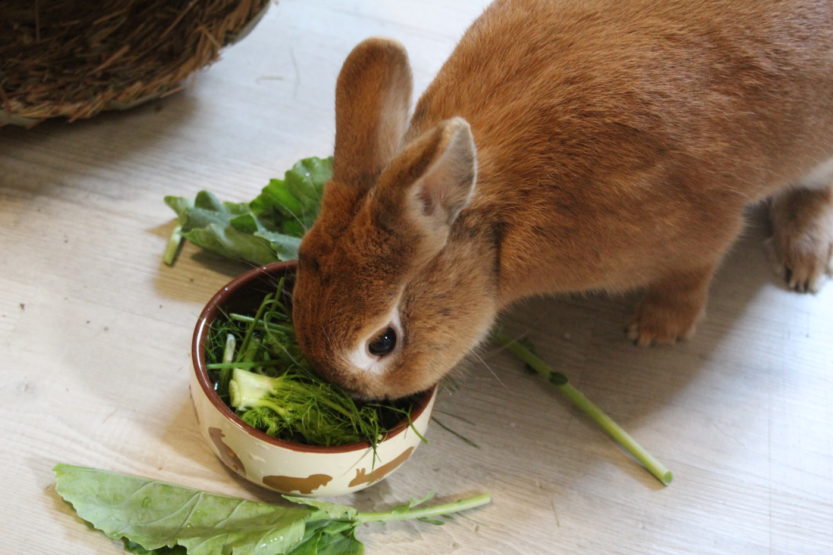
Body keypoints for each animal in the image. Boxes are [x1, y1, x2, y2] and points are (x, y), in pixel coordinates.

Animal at [291, 0, 833, 400]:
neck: (494, 233)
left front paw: (657, 329)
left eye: (382, 342)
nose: (354, 394)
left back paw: (802, 262)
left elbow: (694, 272)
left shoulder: (697, 232)